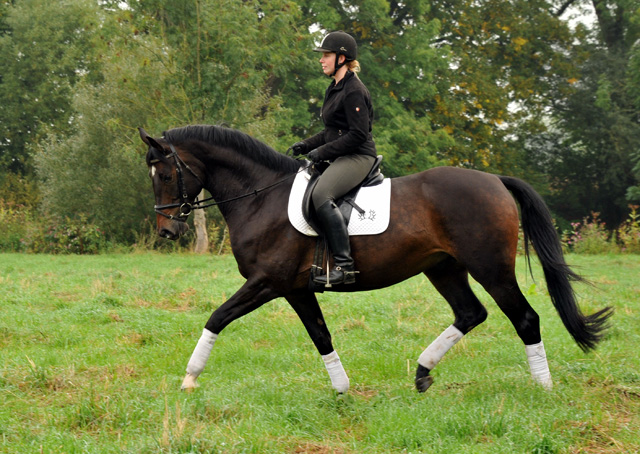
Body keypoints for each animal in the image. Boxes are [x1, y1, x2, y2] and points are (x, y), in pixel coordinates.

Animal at [139, 125, 608, 394]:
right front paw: (342, 390)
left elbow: (217, 317)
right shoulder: (295, 289)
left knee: (525, 318)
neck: (260, 197)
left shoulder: (267, 282)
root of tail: (494, 179)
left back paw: (543, 388)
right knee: (470, 313)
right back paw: (422, 372)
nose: (167, 232)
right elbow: (321, 336)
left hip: (491, 268)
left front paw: (189, 377)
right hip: (443, 267)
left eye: (166, 174)